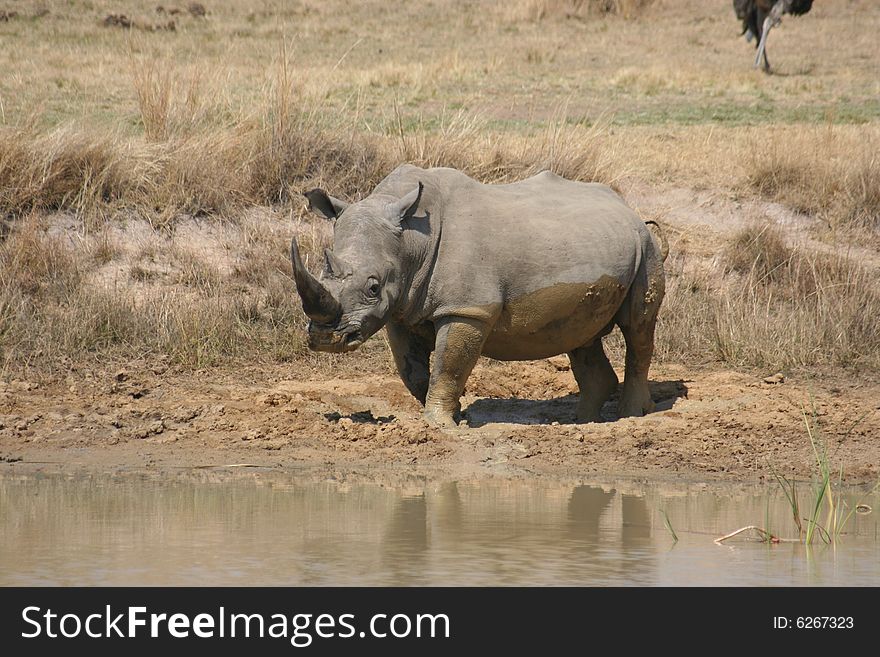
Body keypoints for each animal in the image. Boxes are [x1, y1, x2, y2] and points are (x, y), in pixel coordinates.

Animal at [290, 165, 668, 426]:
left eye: (372, 287)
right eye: (323, 273)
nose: (326, 339)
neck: (412, 239)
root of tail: (627, 206)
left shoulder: (467, 309)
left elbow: (449, 365)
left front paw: (439, 424)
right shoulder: (401, 309)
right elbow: (413, 371)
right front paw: (455, 416)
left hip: (645, 247)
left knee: (638, 326)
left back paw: (632, 415)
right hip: (592, 245)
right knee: (581, 336)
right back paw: (582, 422)